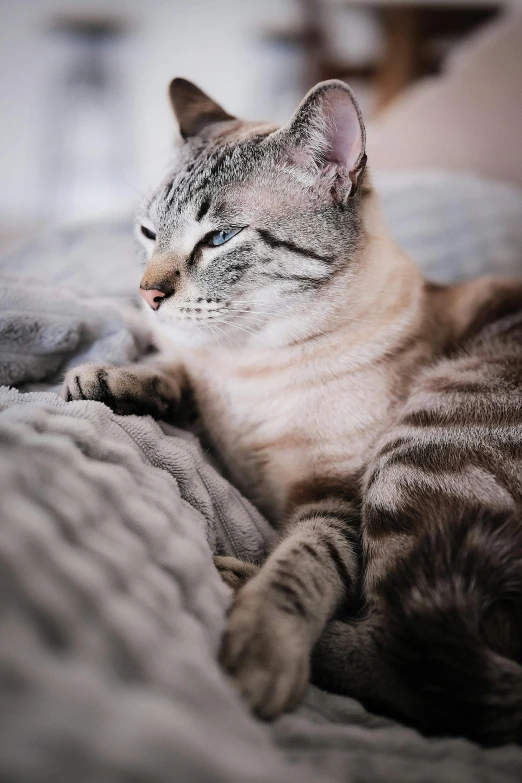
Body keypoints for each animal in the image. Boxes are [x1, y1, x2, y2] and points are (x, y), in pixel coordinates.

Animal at [63, 79, 520, 748]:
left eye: (219, 240)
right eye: (147, 233)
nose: (146, 295)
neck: (253, 364)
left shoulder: (335, 499)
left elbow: (300, 568)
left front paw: (258, 648)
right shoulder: (209, 384)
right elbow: (176, 371)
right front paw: (111, 378)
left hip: (421, 447)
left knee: (423, 668)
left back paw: (233, 582)